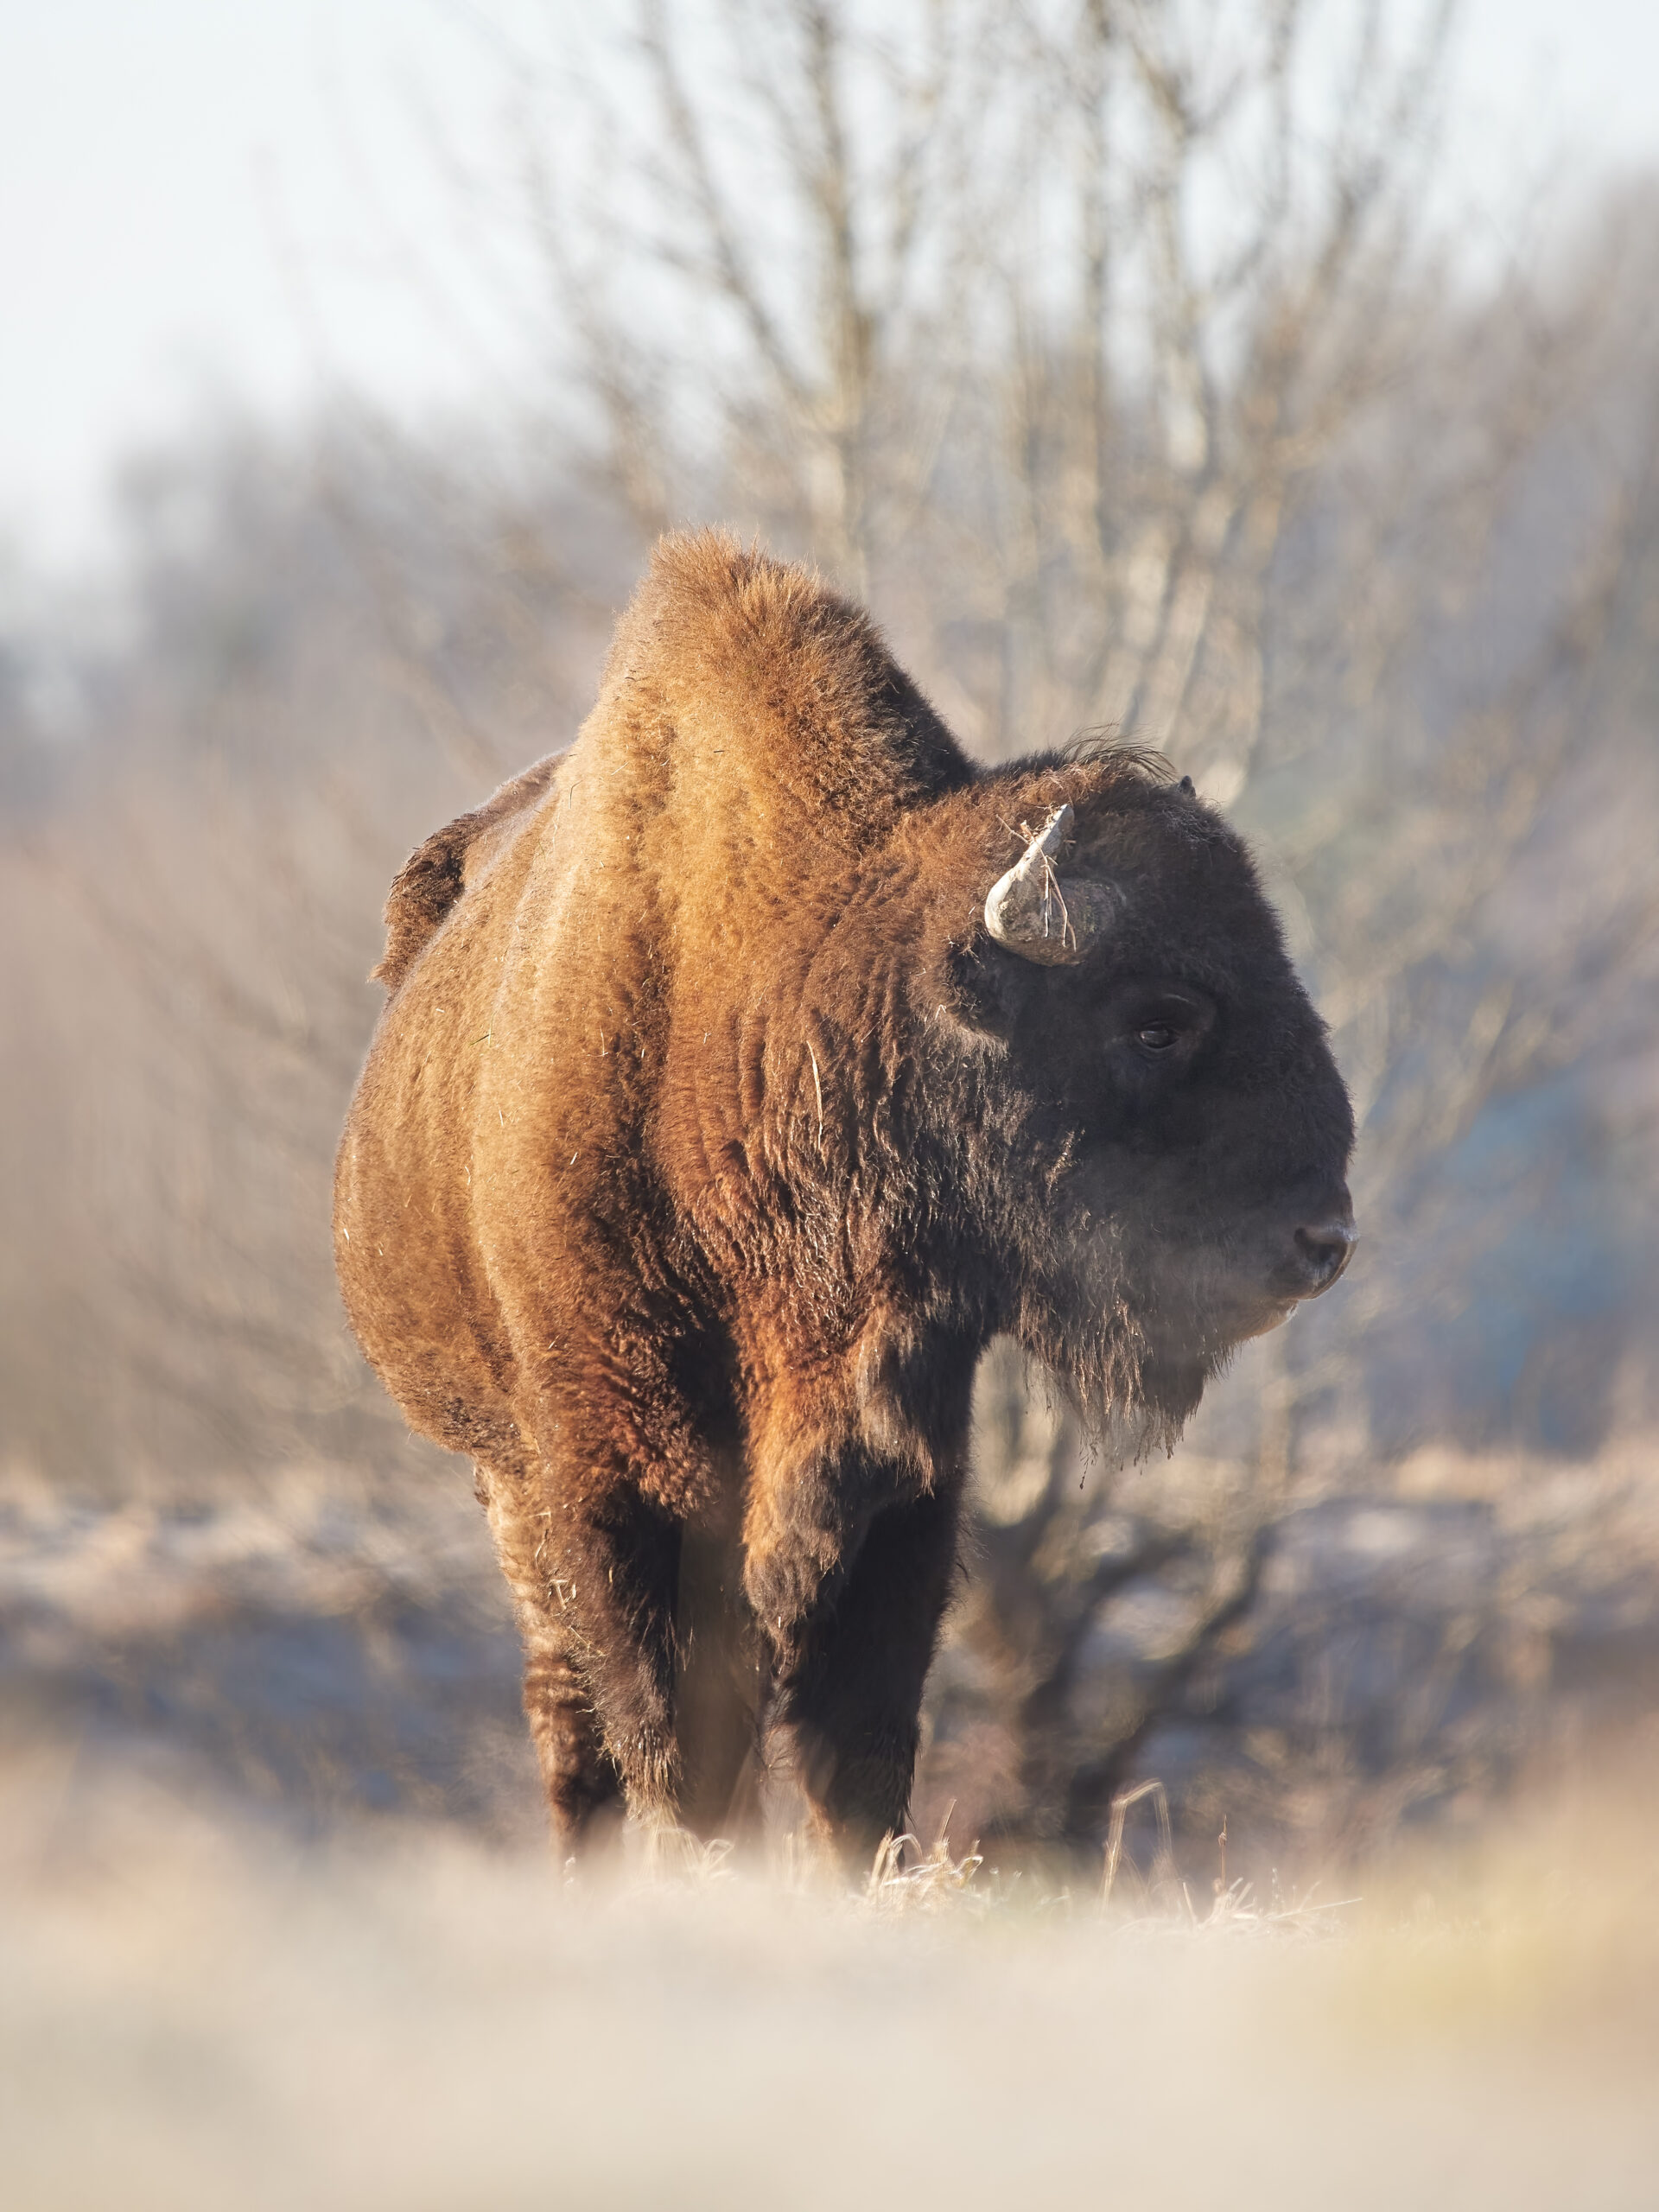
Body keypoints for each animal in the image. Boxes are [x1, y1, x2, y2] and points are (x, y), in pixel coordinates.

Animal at [332, 526, 1353, 1858]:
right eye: (1158, 1019)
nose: (1323, 1236)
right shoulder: (615, 1475)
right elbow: (674, 1733)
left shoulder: (901, 1474)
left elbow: (857, 1737)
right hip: (502, 1475)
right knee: (570, 1719)